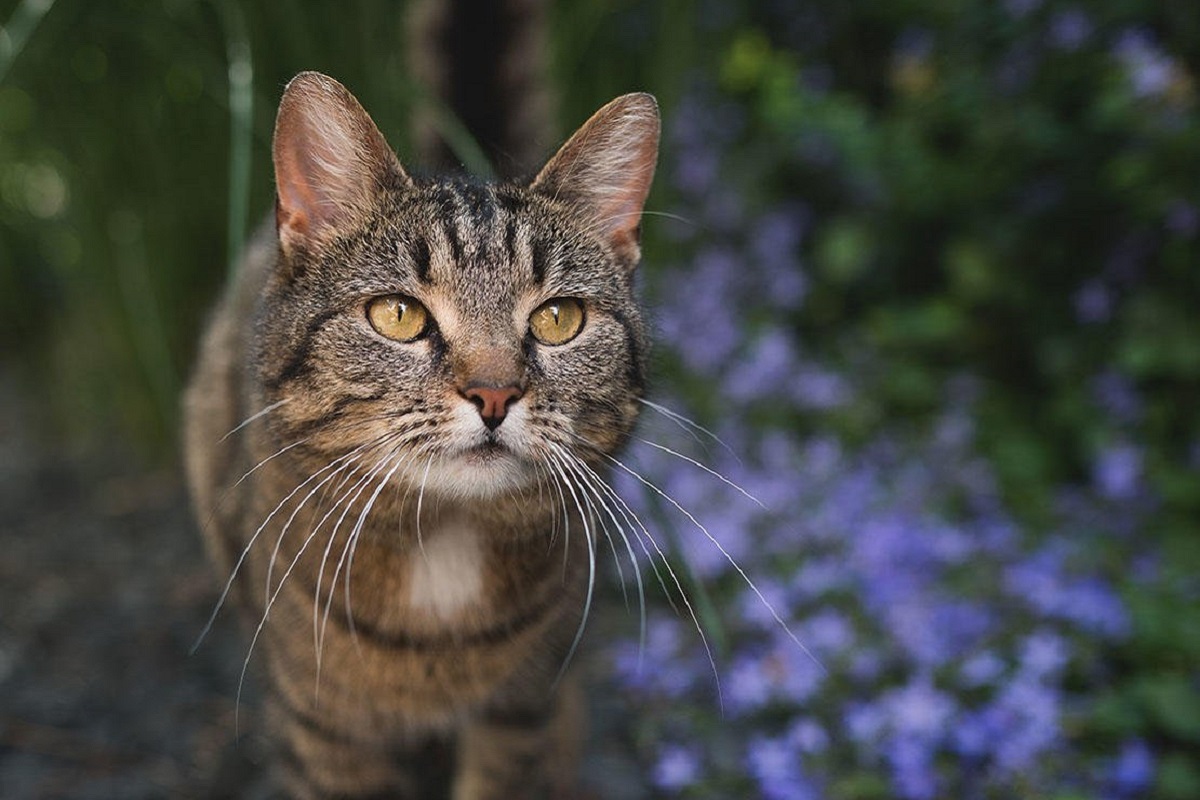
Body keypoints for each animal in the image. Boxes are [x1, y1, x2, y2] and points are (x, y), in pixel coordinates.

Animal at [182, 64, 662, 800]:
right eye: (399, 314)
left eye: (558, 319)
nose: (494, 393)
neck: (443, 551)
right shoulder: (325, 731)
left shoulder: (524, 710)